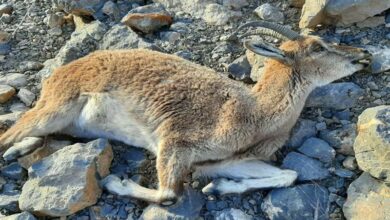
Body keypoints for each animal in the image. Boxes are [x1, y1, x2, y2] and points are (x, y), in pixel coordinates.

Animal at [0, 21, 372, 205]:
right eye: (318, 47)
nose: (363, 54)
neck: (253, 113)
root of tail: (63, 70)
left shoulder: (224, 158)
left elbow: (288, 175)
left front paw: (218, 188)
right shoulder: (174, 142)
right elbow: (169, 194)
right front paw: (116, 181)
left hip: (71, 124)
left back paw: (20, 151)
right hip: (57, 106)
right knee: (11, 132)